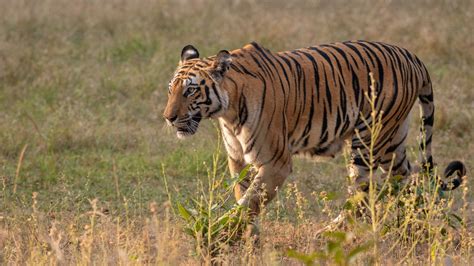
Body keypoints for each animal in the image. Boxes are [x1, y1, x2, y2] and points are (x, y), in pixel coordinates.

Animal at [163, 41, 466, 214]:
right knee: (409, 179)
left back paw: (332, 233)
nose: (167, 117)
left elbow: (248, 204)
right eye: (170, 89)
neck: (228, 112)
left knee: (363, 193)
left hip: (369, 141)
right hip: (393, 142)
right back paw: (414, 226)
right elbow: (244, 199)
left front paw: (221, 238)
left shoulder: (275, 163)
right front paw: (248, 241)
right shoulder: (238, 160)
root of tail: (413, 57)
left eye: (190, 91)